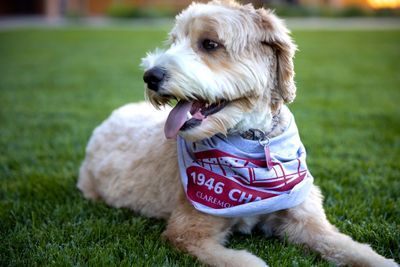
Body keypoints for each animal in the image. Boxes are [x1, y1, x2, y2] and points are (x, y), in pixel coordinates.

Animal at [77, 1, 396, 266]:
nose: (150, 76)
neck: (253, 138)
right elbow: (247, 262)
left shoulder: (307, 220)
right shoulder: (189, 231)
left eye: (209, 44)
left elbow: (353, 248)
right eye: (174, 42)